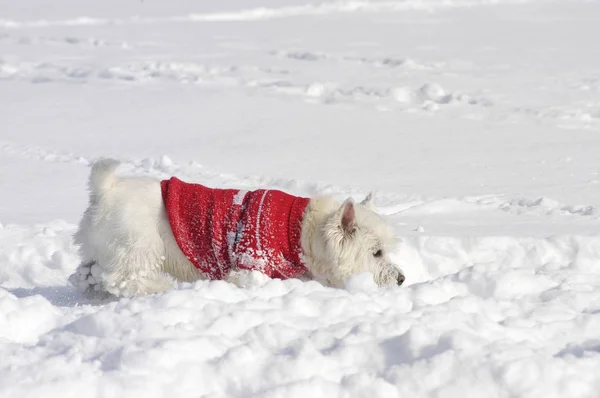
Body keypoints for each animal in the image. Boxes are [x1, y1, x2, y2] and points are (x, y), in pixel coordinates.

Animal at [70, 159, 408, 298]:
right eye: (376, 253)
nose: (402, 279)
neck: (301, 232)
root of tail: (105, 190)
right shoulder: (249, 266)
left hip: (103, 251)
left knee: (87, 275)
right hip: (138, 247)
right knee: (123, 279)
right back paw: (160, 288)